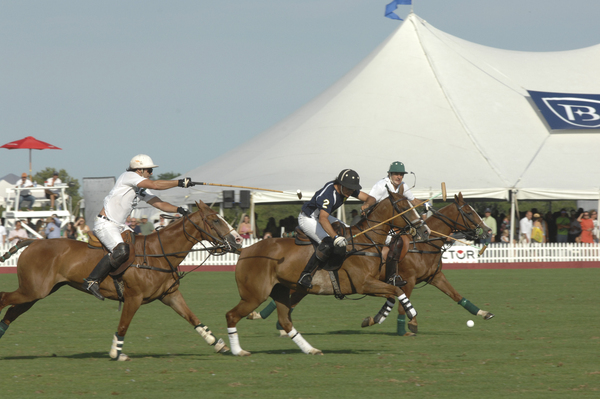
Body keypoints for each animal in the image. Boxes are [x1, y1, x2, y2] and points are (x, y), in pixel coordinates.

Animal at [1, 202, 244, 360]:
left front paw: (219, 344)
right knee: (4, 298)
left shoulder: (170, 295)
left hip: (37, 292)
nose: (238, 240)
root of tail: (31, 242)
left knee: (12, 312)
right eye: (215, 219)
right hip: (33, 290)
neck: (158, 253)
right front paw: (115, 352)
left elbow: (192, 317)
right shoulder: (133, 297)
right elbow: (124, 325)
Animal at [224, 190, 426, 356]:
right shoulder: (363, 284)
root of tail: (245, 250)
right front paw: (411, 312)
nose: (423, 230)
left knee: (285, 320)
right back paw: (238, 351)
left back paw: (310, 349)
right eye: (403, 207)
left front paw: (375, 318)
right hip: (254, 295)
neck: (364, 242)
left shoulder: (369, 285)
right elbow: (397, 291)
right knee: (232, 315)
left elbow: (392, 293)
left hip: (279, 290)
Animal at [364, 192, 494, 336]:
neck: (425, 244)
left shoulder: (435, 276)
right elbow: (402, 305)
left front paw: (484, 313)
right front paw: (408, 326)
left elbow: (457, 296)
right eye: (469, 212)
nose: (488, 230)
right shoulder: (409, 280)